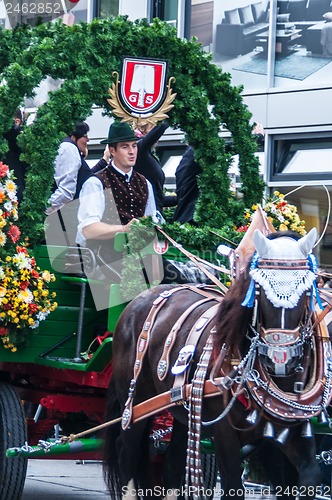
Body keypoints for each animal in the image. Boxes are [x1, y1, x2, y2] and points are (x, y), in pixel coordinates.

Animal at [104, 229, 332, 498]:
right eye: (259, 288)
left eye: (307, 288)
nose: (280, 355)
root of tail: (140, 298)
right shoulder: (225, 435)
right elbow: (233, 484)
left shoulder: (291, 431)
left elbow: (308, 478)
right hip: (135, 402)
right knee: (127, 452)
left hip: (181, 409)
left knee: (173, 462)